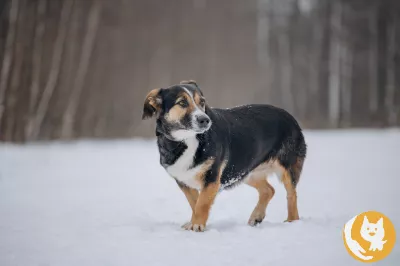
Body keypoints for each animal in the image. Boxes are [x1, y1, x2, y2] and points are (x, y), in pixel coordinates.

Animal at [142, 80, 308, 232]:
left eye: (202, 102)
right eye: (182, 102)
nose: (205, 120)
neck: (187, 141)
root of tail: (289, 115)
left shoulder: (212, 177)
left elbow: (202, 204)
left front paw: (197, 225)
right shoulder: (183, 181)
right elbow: (194, 202)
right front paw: (193, 223)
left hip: (287, 167)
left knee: (291, 194)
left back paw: (292, 221)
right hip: (244, 171)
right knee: (268, 190)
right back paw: (257, 216)